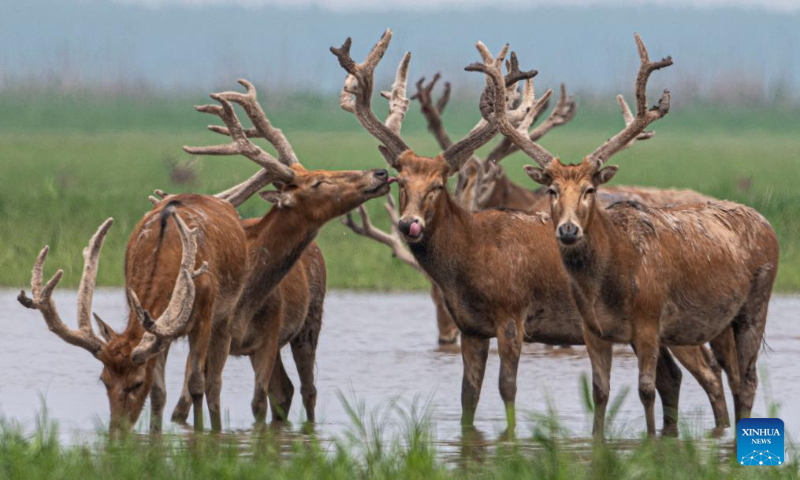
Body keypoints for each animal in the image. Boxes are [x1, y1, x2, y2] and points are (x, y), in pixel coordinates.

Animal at [18, 193, 247, 432]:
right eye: (103, 379)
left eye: (137, 383)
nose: (116, 432)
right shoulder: (155, 329)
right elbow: (158, 392)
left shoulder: (204, 315)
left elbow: (196, 384)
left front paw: (201, 436)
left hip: (226, 316)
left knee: (214, 384)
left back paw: (217, 429)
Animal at [156, 78, 396, 428]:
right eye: (318, 182)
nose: (379, 173)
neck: (246, 296)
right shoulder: (211, 335)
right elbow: (184, 405)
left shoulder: (268, 335)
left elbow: (259, 402)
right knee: (288, 390)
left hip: (310, 321)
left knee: (304, 390)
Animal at [332, 29, 742, 435]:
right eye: (400, 181)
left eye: (438, 184)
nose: (409, 224)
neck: (469, 260)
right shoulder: (471, 327)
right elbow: (468, 396)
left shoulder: (512, 315)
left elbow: (507, 388)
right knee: (675, 378)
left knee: (710, 375)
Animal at [482, 33, 778, 438]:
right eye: (552, 190)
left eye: (590, 189)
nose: (568, 229)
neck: (611, 282)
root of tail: (768, 225)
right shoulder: (593, 329)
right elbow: (600, 391)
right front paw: (598, 440)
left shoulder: (649, 321)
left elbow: (646, 389)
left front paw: (652, 441)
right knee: (732, 379)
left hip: (756, 304)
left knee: (746, 381)